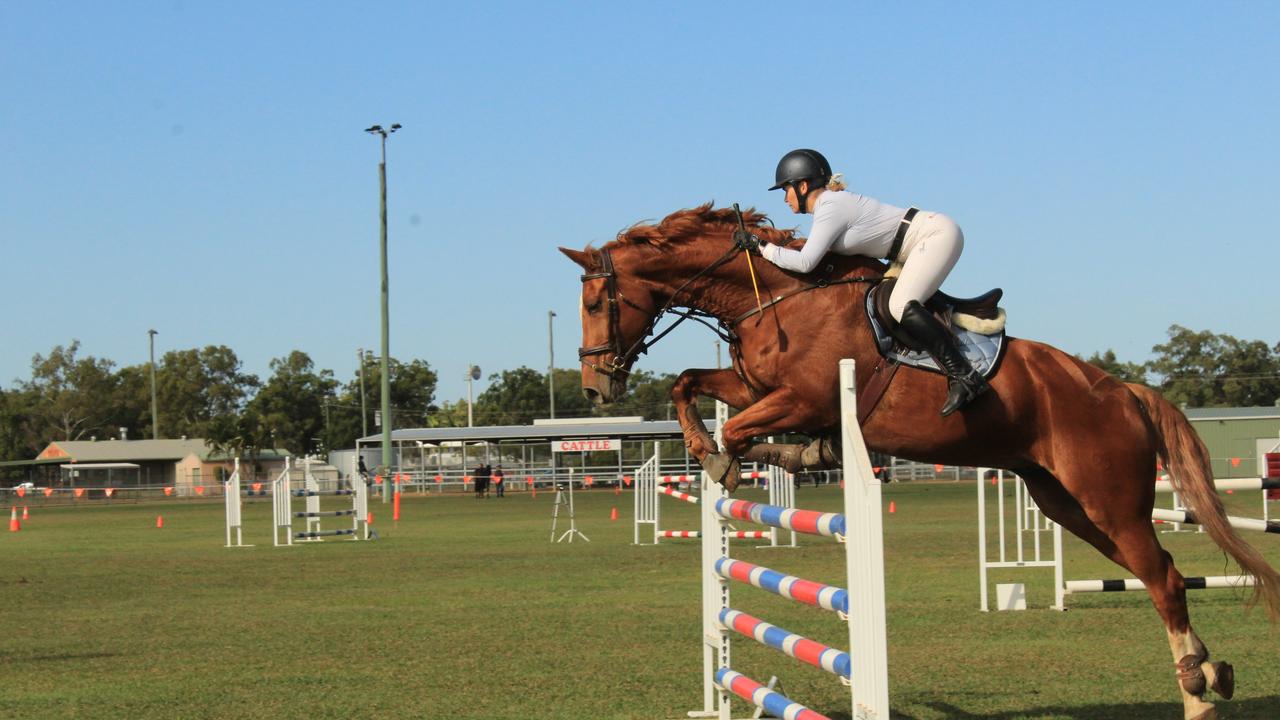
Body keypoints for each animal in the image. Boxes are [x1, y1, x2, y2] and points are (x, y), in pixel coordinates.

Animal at [560, 202, 1280, 717]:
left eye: (596, 302)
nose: (595, 389)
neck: (774, 294)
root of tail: (1122, 389)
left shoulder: (801, 394)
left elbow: (736, 429)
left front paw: (732, 458)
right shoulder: (755, 386)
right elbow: (689, 383)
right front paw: (745, 449)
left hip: (1109, 500)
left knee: (1164, 579)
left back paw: (1196, 693)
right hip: (1067, 504)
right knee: (1164, 574)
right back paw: (1208, 673)